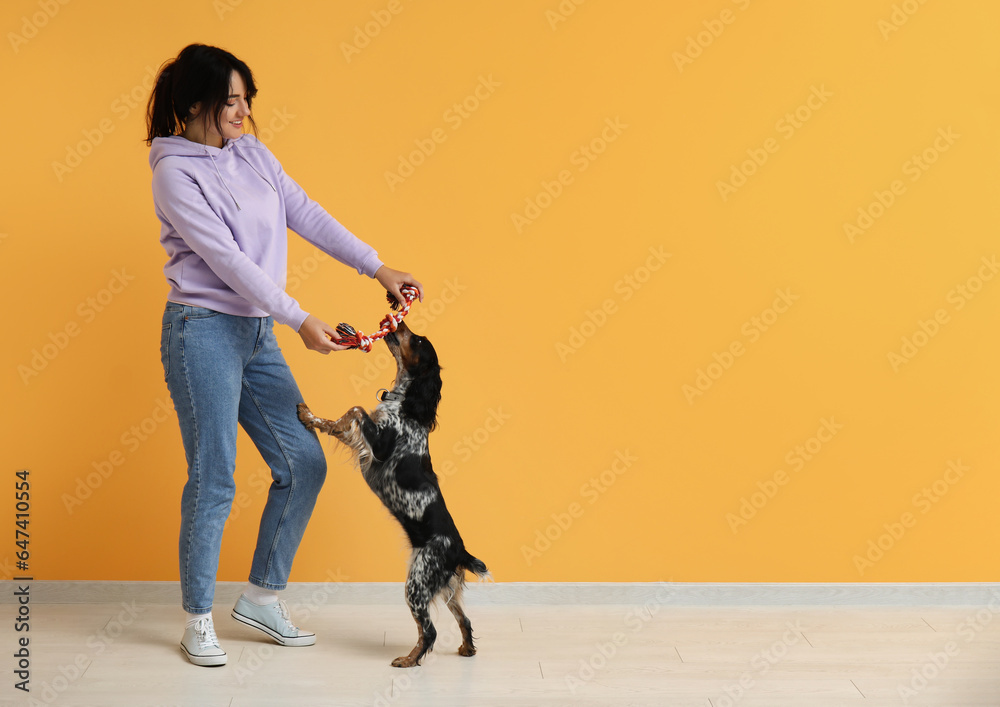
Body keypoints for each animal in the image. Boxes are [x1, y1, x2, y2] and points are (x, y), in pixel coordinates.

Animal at [294, 316, 486, 668]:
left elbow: (355, 409)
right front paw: (310, 416)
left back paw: (408, 660)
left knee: (430, 632)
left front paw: (326, 420)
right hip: (445, 588)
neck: (406, 406)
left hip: (417, 584)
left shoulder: (381, 448)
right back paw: (466, 649)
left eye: (419, 341)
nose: (400, 321)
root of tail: (459, 551)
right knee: (464, 620)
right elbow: (344, 419)